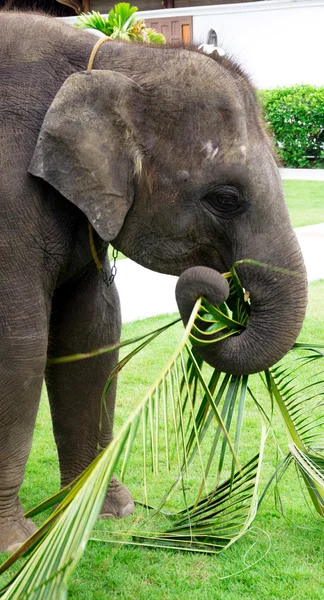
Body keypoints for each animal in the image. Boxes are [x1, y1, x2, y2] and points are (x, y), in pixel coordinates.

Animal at [0, 10, 308, 552]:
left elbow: (94, 335)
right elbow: (20, 346)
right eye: (226, 198)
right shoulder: (7, 203)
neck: (115, 60)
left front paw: (104, 512)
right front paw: (17, 545)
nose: (221, 290)